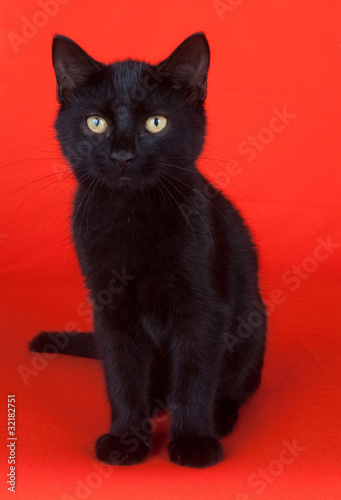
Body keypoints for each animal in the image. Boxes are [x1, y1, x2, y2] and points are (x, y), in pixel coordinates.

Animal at [29, 34, 266, 468]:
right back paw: (156, 402)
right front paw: (126, 439)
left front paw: (194, 441)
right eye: (96, 122)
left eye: (156, 122)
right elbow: (122, 375)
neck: (132, 214)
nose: (122, 154)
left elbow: (195, 376)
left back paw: (218, 417)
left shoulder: (205, 307)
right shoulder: (108, 306)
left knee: (233, 386)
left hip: (252, 324)